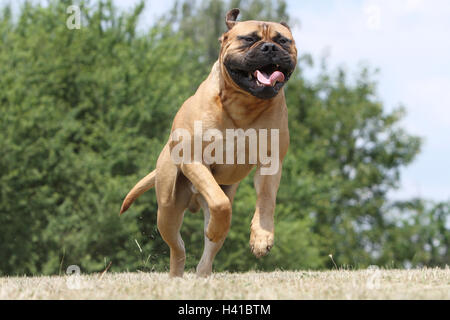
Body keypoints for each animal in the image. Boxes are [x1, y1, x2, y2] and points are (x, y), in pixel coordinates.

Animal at [118, 8, 298, 278]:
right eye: (248, 39)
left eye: (283, 40)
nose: (269, 48)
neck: (244, 102)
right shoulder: (194, 160)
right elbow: (220, 204)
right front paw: (216, 228)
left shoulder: (271, 162)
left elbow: (266, 201)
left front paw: (261, 239)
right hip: (168, 209)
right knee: (178, 247)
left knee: (208, 250)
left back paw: (204, 270)